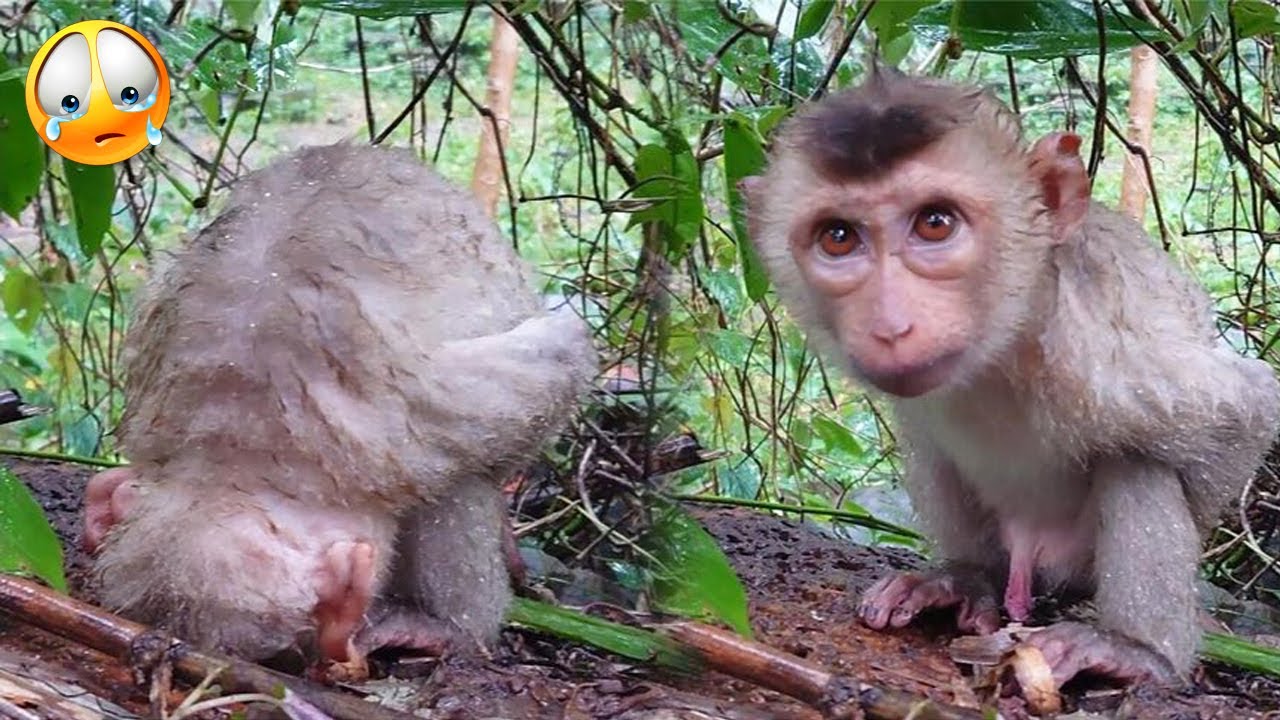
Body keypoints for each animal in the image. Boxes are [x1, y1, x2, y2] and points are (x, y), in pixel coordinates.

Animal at [741, 69, 1280, 688]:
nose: (890, 325)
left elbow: (1249, 407)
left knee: (1137, 464)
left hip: (1073, 552)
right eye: (838, 237)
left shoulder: (1101, 355)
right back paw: (970, 578)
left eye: (935, 223)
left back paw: (1134, 648)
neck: (1005, 340)